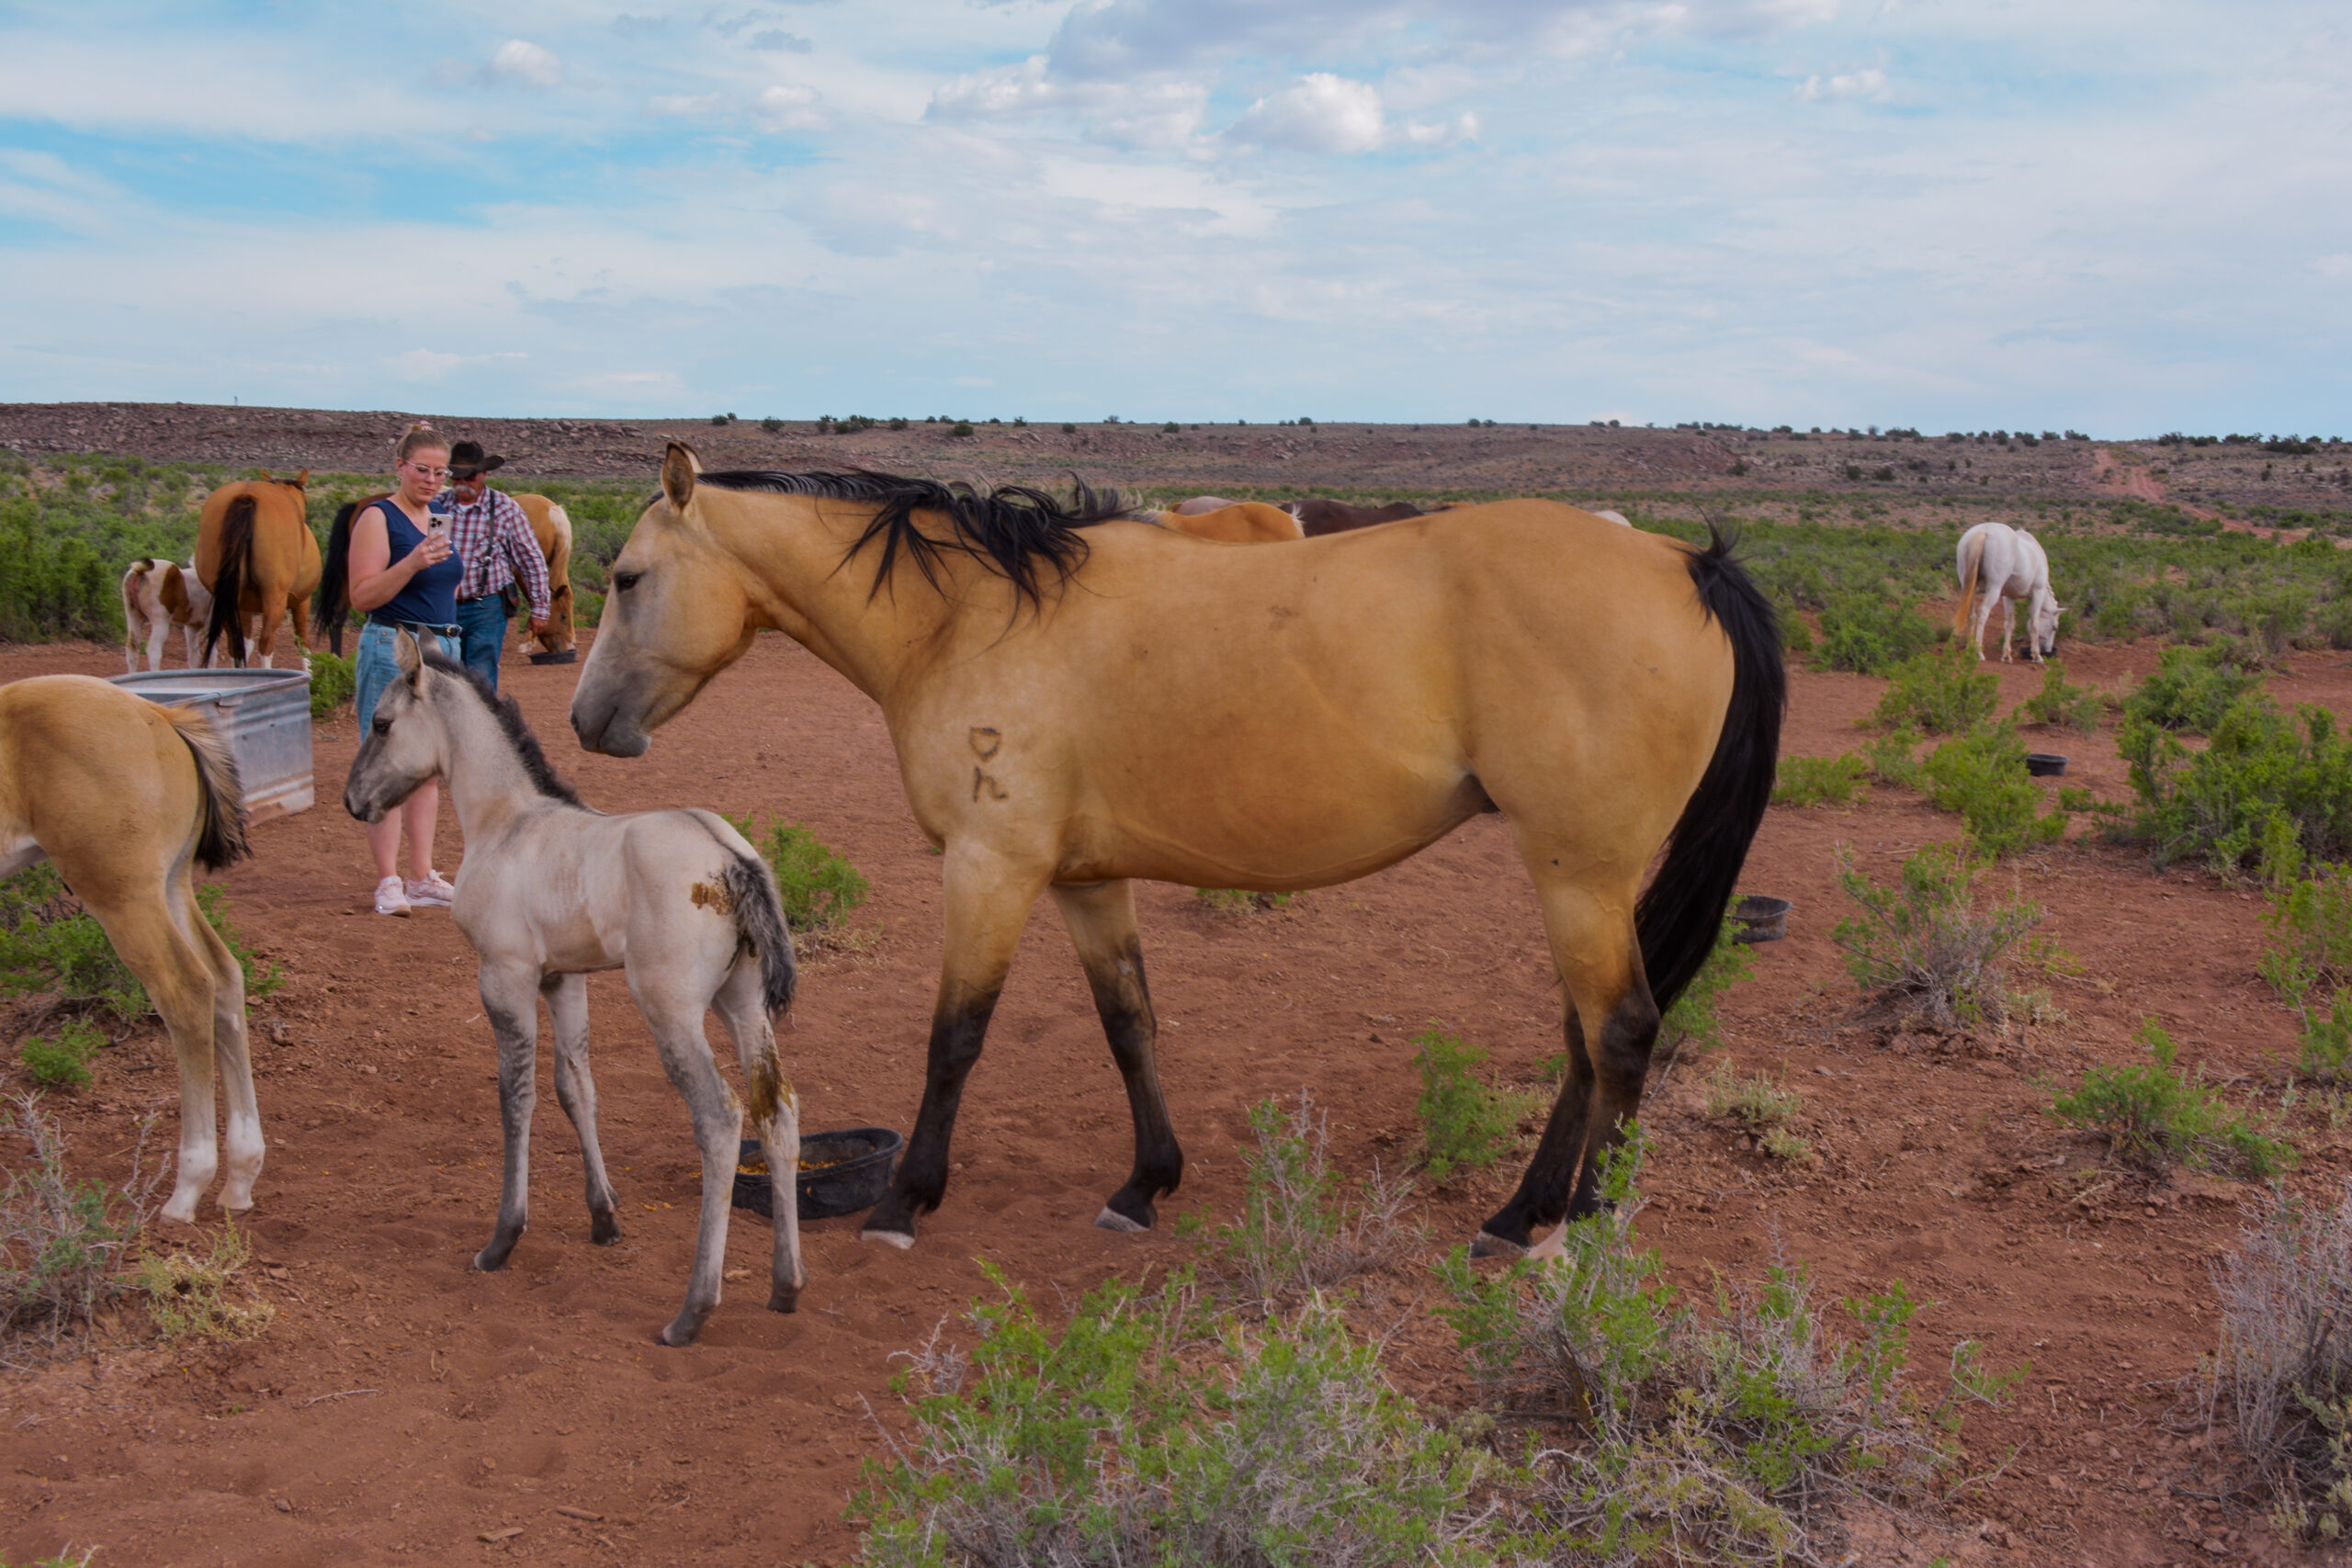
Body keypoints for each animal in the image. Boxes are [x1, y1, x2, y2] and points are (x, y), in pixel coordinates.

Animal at [0, 676, 256, 1223]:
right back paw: (241, 1177)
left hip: (122, 896)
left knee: (185, 990)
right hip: (171, 884)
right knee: (224, 978)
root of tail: (162, 718)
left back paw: (187, 1189)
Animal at [198, 471, 320, 670]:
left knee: (235, 644)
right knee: (266, 642)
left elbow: (245, 643)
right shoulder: (302, 601)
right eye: (306, 501)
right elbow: (303, 643)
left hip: (227, 597)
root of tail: (247, 495)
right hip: (274, 596)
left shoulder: (243, 604)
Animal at [344, 633, 802, 1346]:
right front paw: (603, 1217)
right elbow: (575, 1087)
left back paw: (693, 1310)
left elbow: (517, 1098)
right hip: (744, 1005)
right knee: (776, 1109)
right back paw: (785, 1286)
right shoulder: (563, 979)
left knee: (722, 1118)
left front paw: (503, 1238)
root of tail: (732, 858)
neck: (507, 823)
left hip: (671, 1010)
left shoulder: (504, 976)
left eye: (382, 722)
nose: (352, 799)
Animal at [1953, 522, 2063, 662]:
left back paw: (1969, 649)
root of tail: (1983, 531)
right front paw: (2037, 656)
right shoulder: (2038, 592)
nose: (2048, 650)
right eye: (2055, 627)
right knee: (1982, 612)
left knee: (1971, 615)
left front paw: (2006, 656)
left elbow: (2009, 624)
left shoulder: (2008, 596)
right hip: (1994, 588)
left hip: (1969, 588)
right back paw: (1978, 652)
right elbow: (2034, 623)